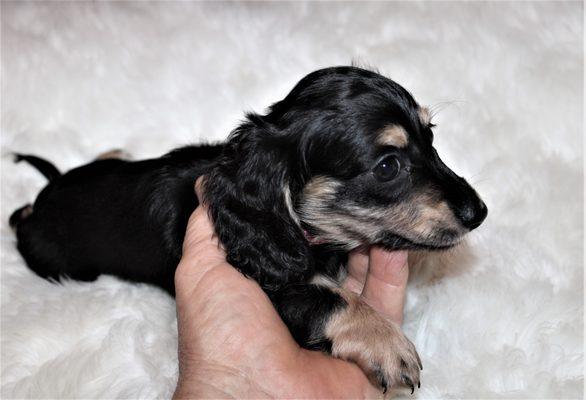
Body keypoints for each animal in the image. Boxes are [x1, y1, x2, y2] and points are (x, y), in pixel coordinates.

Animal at [9, 66, 486, 394]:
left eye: (431, 138)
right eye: (388, 166)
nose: (478, 212)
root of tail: (44, 199)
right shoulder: (263, 272)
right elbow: (325, 293)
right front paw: (384, 339)